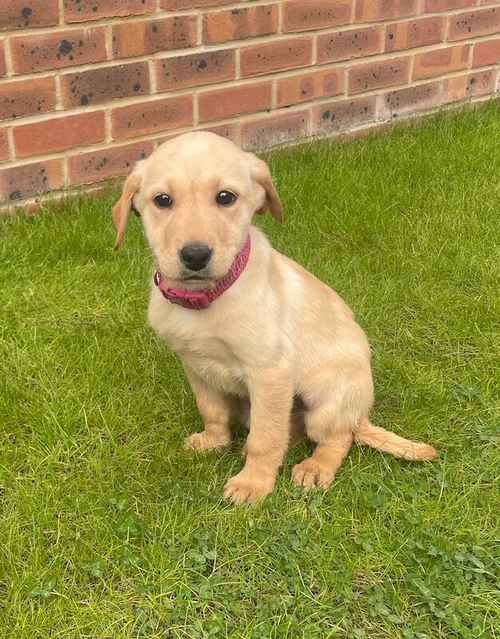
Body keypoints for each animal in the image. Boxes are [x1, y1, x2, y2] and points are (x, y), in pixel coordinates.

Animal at [111, 134, 436, 504]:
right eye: (162, 200)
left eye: (226, 197)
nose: (195, 255)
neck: (207, 299)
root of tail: (360, 415)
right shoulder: (195, 365)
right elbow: (212, 411)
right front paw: (214, 442)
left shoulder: (269, 372)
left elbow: (264, 439)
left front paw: (253, 484)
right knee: (291, 430)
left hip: (326, 400)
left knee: (337, 437)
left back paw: (316, 467)